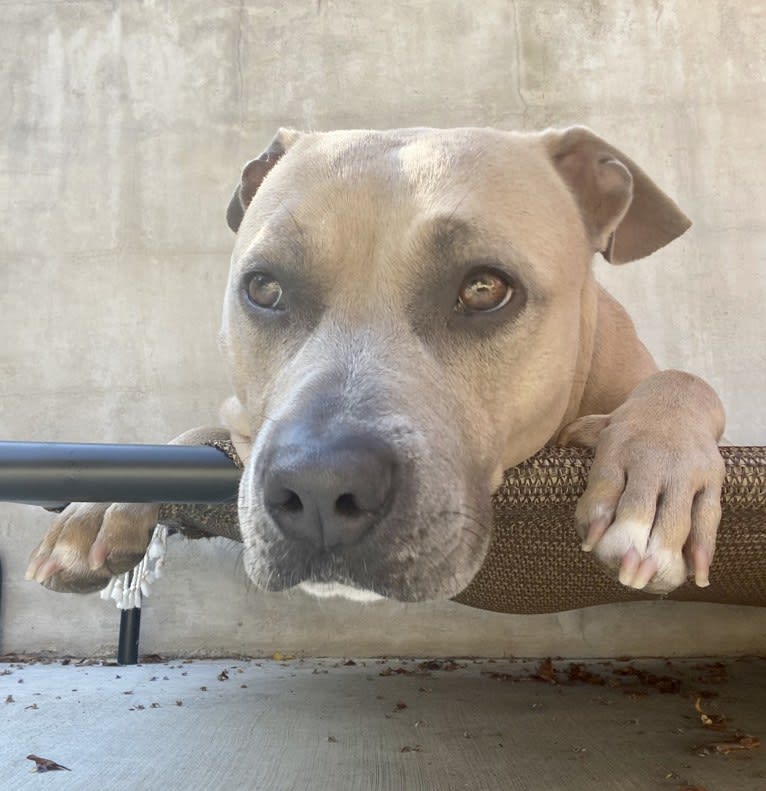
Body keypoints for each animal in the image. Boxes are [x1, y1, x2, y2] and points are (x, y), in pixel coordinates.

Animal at [27, 127, 728, 604]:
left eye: (485, 288)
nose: (317, 487)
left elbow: (686, 382)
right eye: (264, 288)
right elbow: (213, 429)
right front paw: (104, 503)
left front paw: (654, 476)